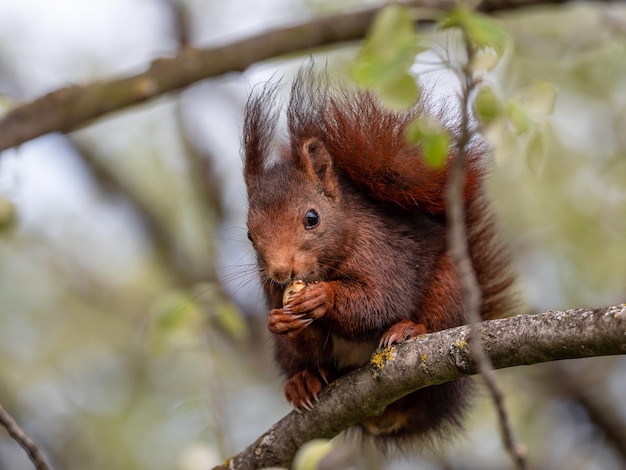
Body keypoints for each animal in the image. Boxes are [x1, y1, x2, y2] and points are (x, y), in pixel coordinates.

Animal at [243, 68, 512, 442]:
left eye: (312, 218)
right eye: (250, 234)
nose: (282, 272)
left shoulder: (383, 253)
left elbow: (380, 302)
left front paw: (322, 297)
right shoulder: (272, 290)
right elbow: (315, 343)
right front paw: (281, 322)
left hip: (448, 288)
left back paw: (410, 329)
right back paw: (303, 381)